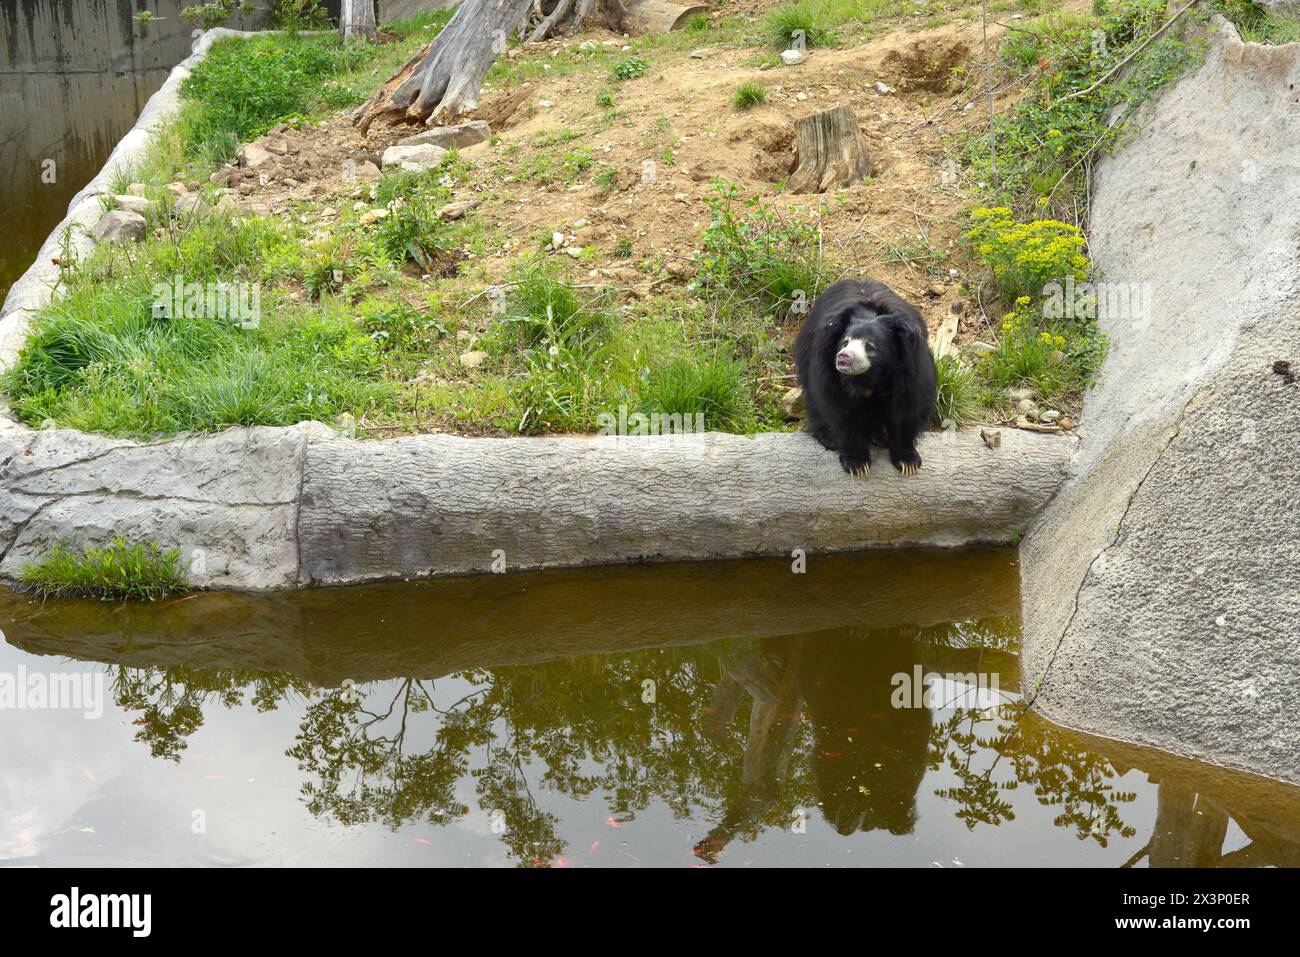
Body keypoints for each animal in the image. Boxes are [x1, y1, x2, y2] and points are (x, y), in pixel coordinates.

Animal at [790, 282, 935, 478]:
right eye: (844, 342)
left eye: (870, 346)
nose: (842, 357)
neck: (871, 377)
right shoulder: (827, 367)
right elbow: (841, 410)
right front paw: (857, 464)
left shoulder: (911, 368)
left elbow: (907, 408)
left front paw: (908, 462)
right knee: (814, 398)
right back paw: (829, 437)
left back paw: (880, 436)